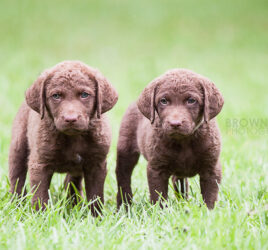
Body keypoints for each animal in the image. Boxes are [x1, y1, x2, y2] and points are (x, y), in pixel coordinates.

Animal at [8, 60, 118, 215]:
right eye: (56, 96)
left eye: (84, 94)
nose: (70, 119)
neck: (73, 137)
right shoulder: (39, 164)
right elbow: (40, 196)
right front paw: (41, 217)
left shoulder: (97, 164)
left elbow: (95, 195)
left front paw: (96, 217)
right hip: (18, 145)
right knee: (16, 178)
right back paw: (16, 205)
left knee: (73, 180)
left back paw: (73, 203)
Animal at [116, 69, 224, 210]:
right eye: (163, 101)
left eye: (191, 100)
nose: (175, 123)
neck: (184, 142)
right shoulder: (156, 168)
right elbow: (159, 195)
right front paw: (160, 212)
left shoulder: (212, 168)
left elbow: (210, 195)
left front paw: (209, 211)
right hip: (126, 148)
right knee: (123, 176)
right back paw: (123, 206)